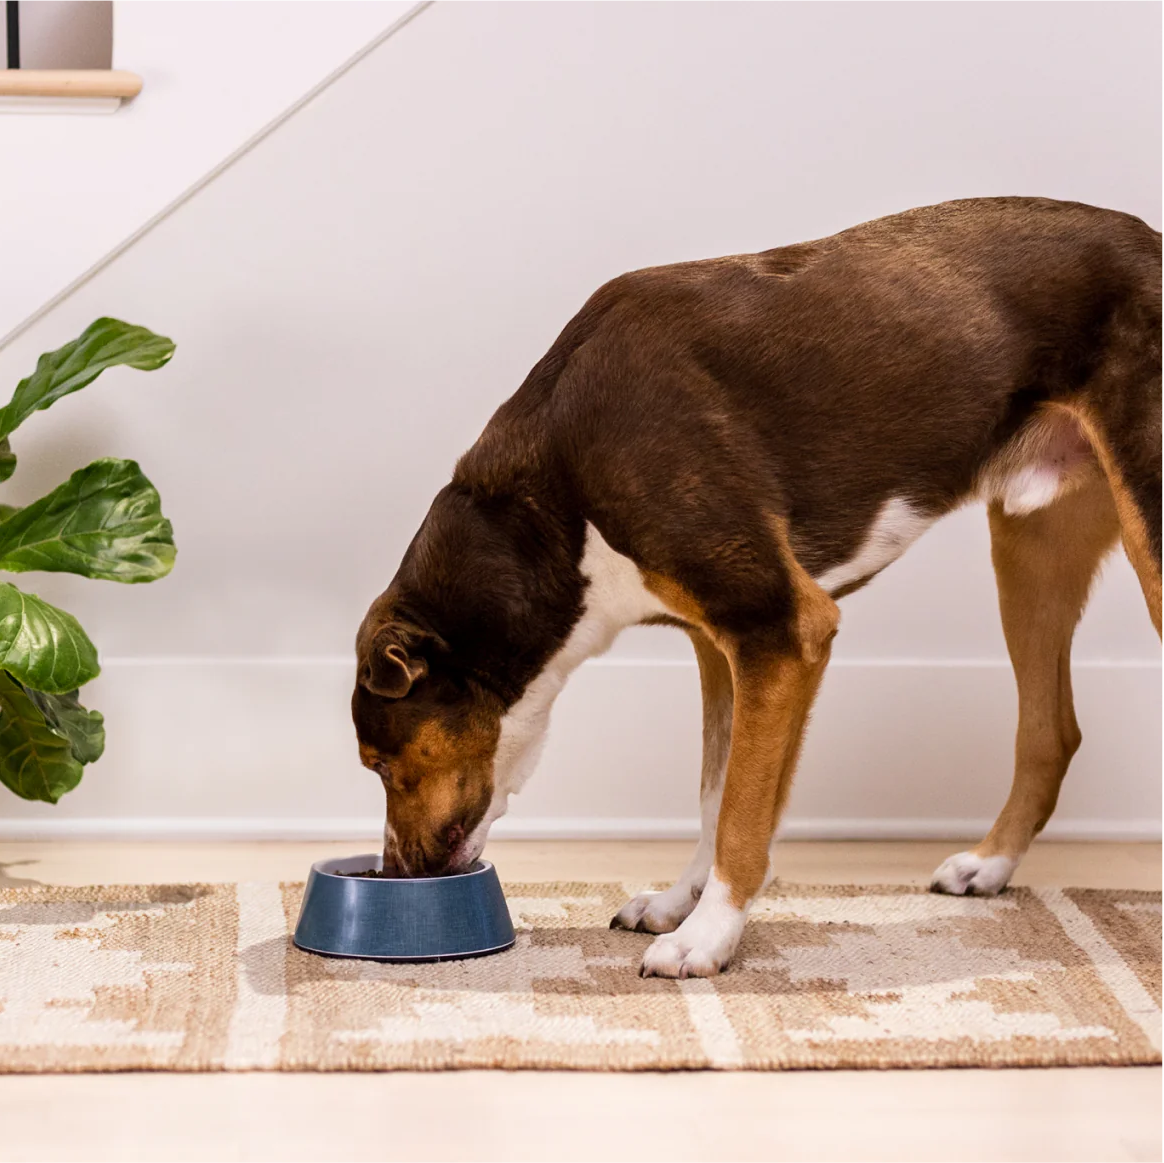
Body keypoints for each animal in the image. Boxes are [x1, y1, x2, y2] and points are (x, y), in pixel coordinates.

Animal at [352, 197, 1162, 978]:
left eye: (380, 763)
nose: (394, 874)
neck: (554, 498)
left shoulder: (784, 630)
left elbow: (742, 809)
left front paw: (706, 938)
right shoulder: (724, 648)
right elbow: (717, 794)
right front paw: (677, 904)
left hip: (1143, 541)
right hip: (1030, 550)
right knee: (1050, 730)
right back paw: (989, 865)